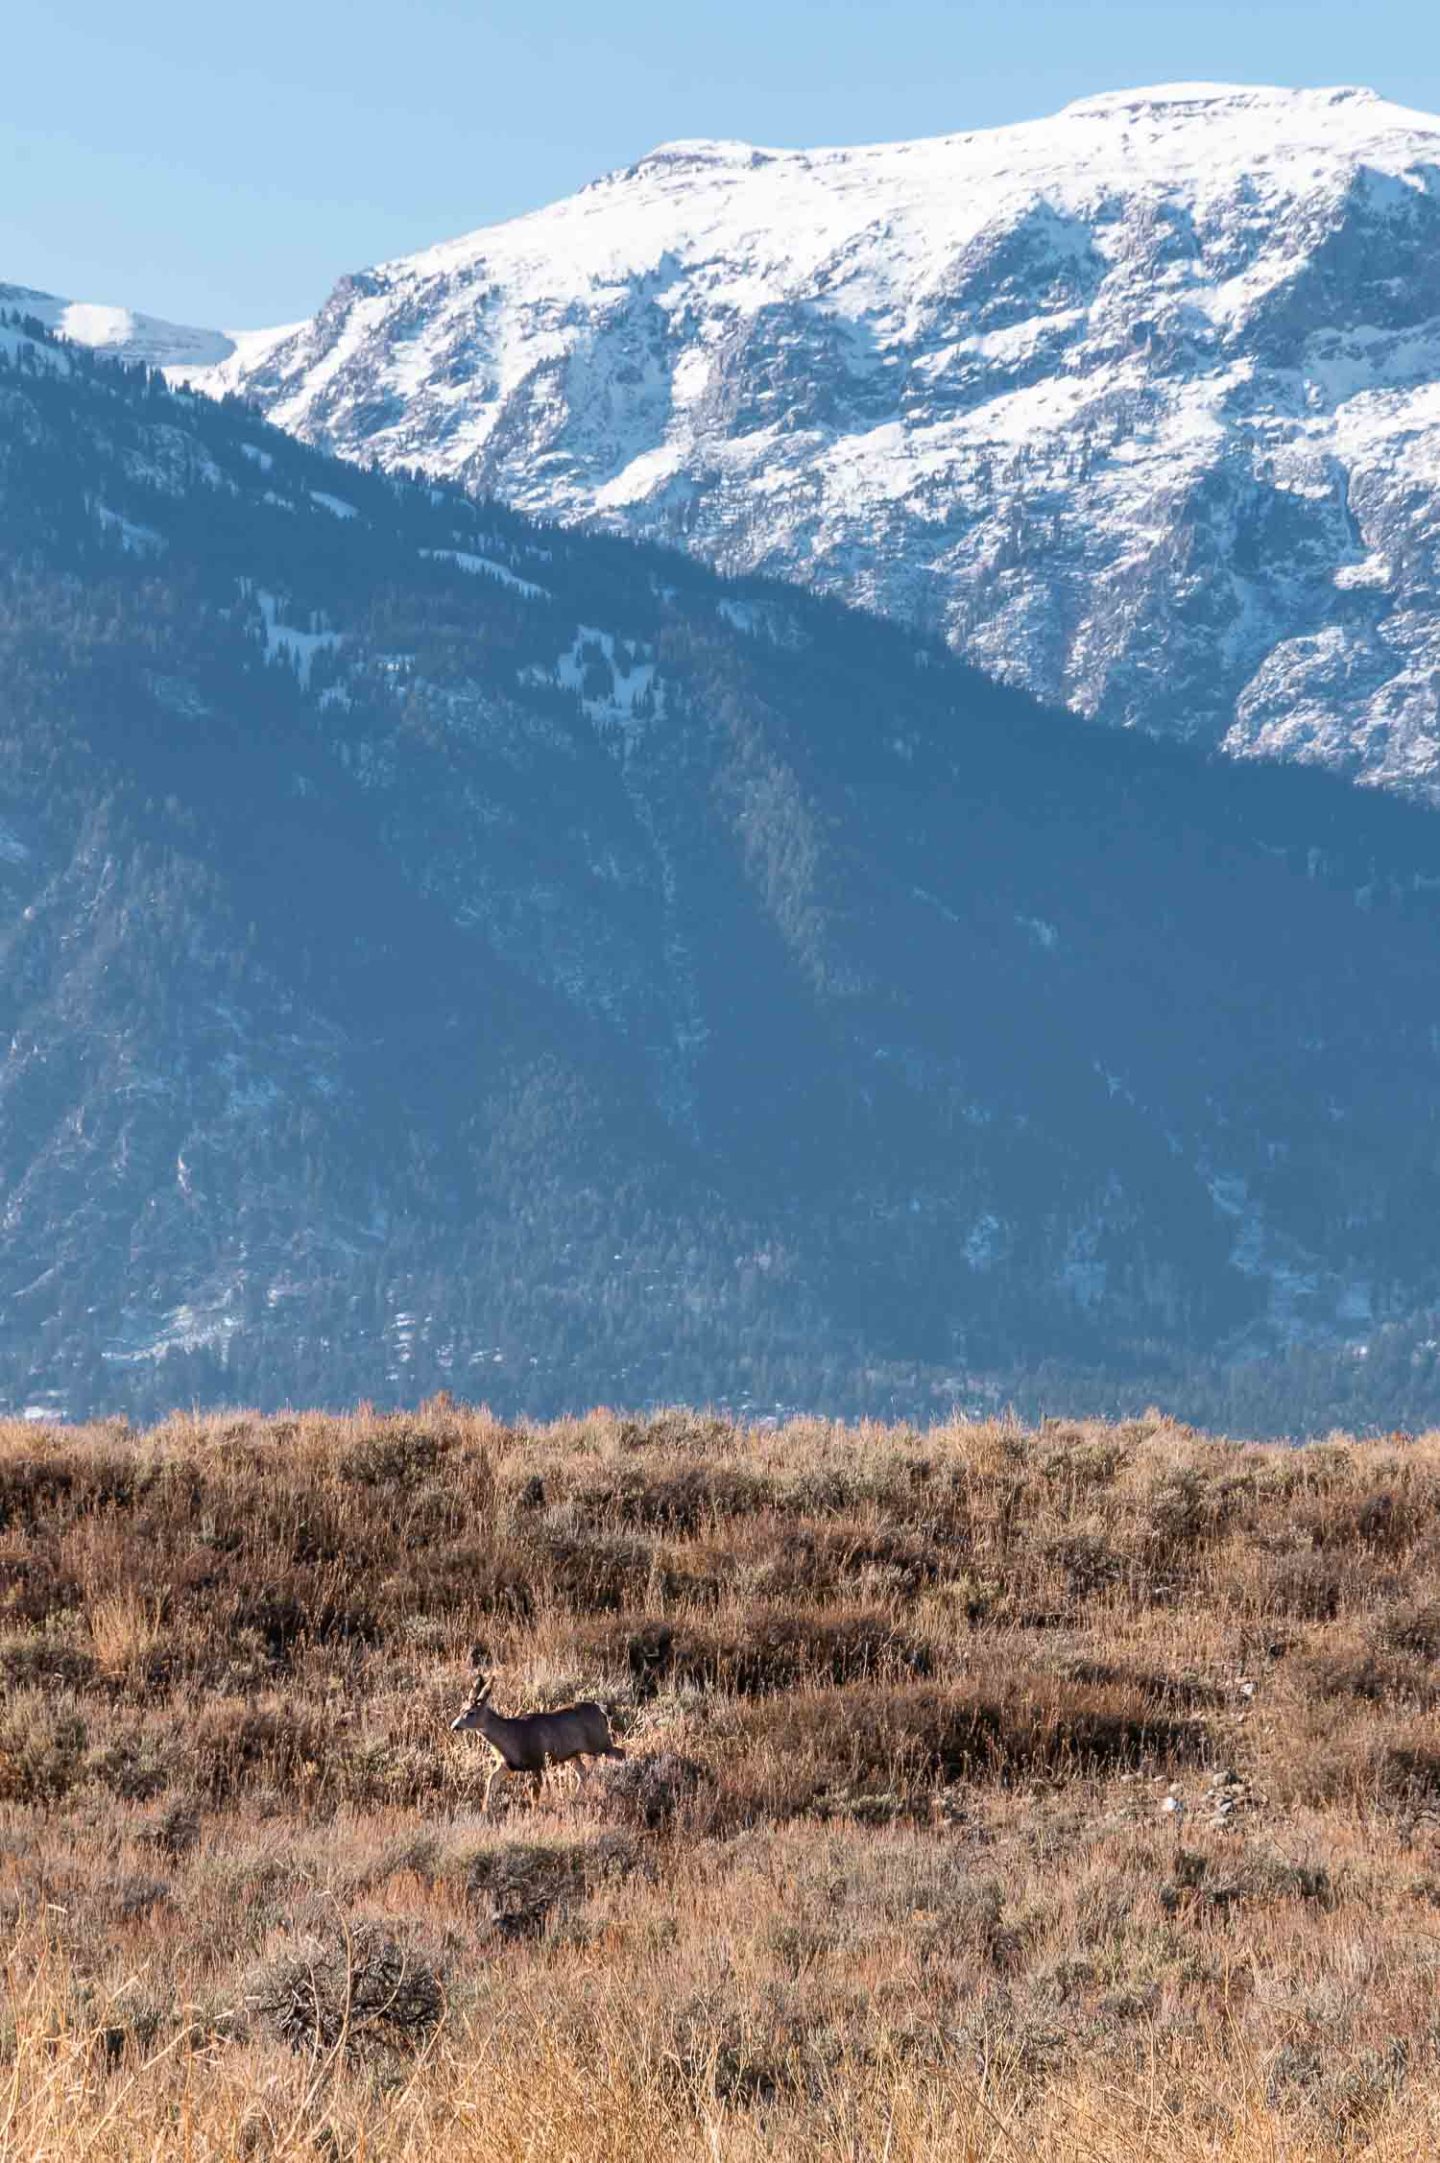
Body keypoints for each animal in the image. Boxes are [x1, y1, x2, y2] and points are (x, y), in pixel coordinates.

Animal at [445, 1643, 618, 1816]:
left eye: (471, 1712)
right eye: (461, 1709)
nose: (454, 1726)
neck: (511, 1736)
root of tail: (600, 1709)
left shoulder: (537, 1761)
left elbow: (535, 1794)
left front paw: (535, 1813)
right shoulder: (506, 1765)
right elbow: (491, 1781)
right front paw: (485, 1810)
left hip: (599, 1742)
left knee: (618, 1754)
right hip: (572, 1753)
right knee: (583, 1772)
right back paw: (574, 1800)